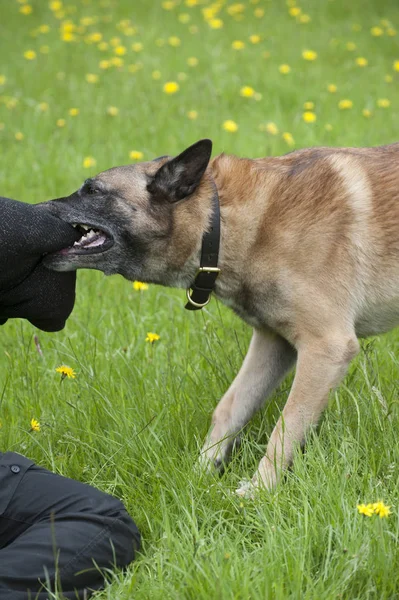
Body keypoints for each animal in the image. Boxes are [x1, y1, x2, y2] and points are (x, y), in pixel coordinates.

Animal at [43, 141, 399, 496]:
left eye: (93, 190)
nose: (35, 211)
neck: (220, 222)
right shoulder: (275, 343)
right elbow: (230, 407)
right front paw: (201, 473)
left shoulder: (326, 347)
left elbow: (286, 426)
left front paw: (258, 492)